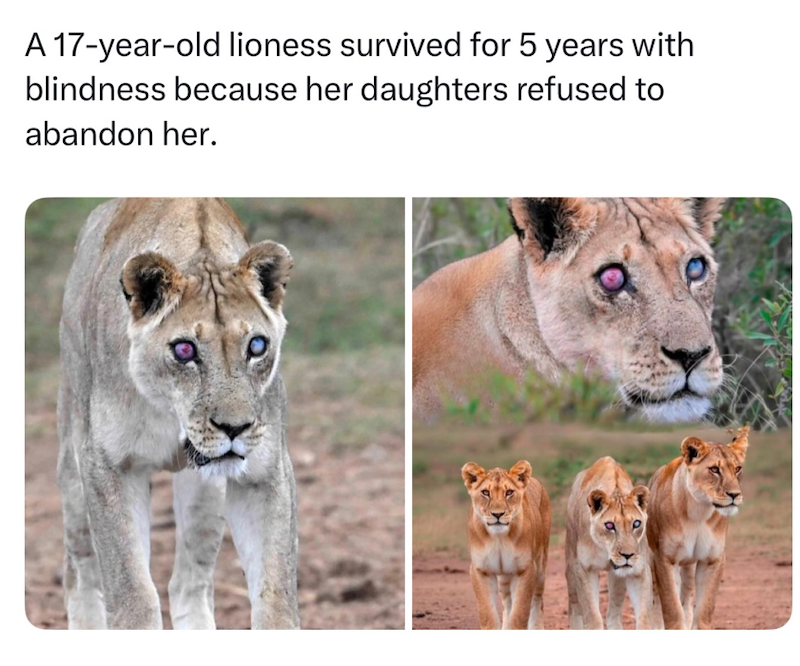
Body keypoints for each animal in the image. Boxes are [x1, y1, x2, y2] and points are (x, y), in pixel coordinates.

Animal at [56, 198, 300, 629]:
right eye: (184, 350)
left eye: (256, 346)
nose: (235, 428)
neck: (172, 415)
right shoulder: (106, 464)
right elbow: (132, 594)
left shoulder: (266, 473)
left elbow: (276, 598)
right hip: (72, 463)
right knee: (79, 569)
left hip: (206, 493)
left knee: (189, 584)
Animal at [461, 460, 551, 629]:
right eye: (485, 492)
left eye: (509, 492)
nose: (498, 514)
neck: (499, 539)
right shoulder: (480, 570)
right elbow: (487, 614)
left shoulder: (525, 569)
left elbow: (519, 614)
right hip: (504, 577)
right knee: (507, 602)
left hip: (540, 566)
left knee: (537, 600)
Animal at [565, 457, 652, 629]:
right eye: (610, 525)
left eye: (636, 524)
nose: (627, 555)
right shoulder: (584, 569)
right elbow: (592, 616)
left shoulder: (639, 571)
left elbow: (644, 618)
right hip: (570, 566)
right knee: (574, 608)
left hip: (617, 579)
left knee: (613, 612)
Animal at [647, 425, 750, 629]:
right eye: (714, 469)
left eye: (738, 469)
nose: (735, 495)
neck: (699, 513)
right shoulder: (665, 559)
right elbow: (671, 608)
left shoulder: (713, 559)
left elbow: (704, 610)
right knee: (655, 598)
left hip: (687, 566)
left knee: (686, 597)